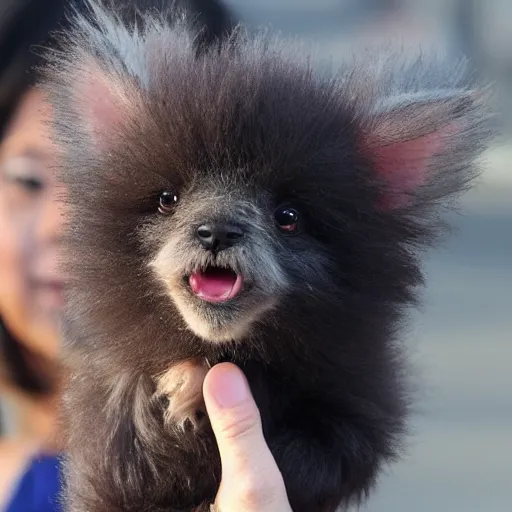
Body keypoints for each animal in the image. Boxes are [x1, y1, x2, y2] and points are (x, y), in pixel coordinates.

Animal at [43, 1, 496, 512]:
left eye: (288, 217)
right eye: (167, 199)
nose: (217, 230)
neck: (218, 347)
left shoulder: (358, 407)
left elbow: (315, 451)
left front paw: (193, 386)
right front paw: (167, 391)